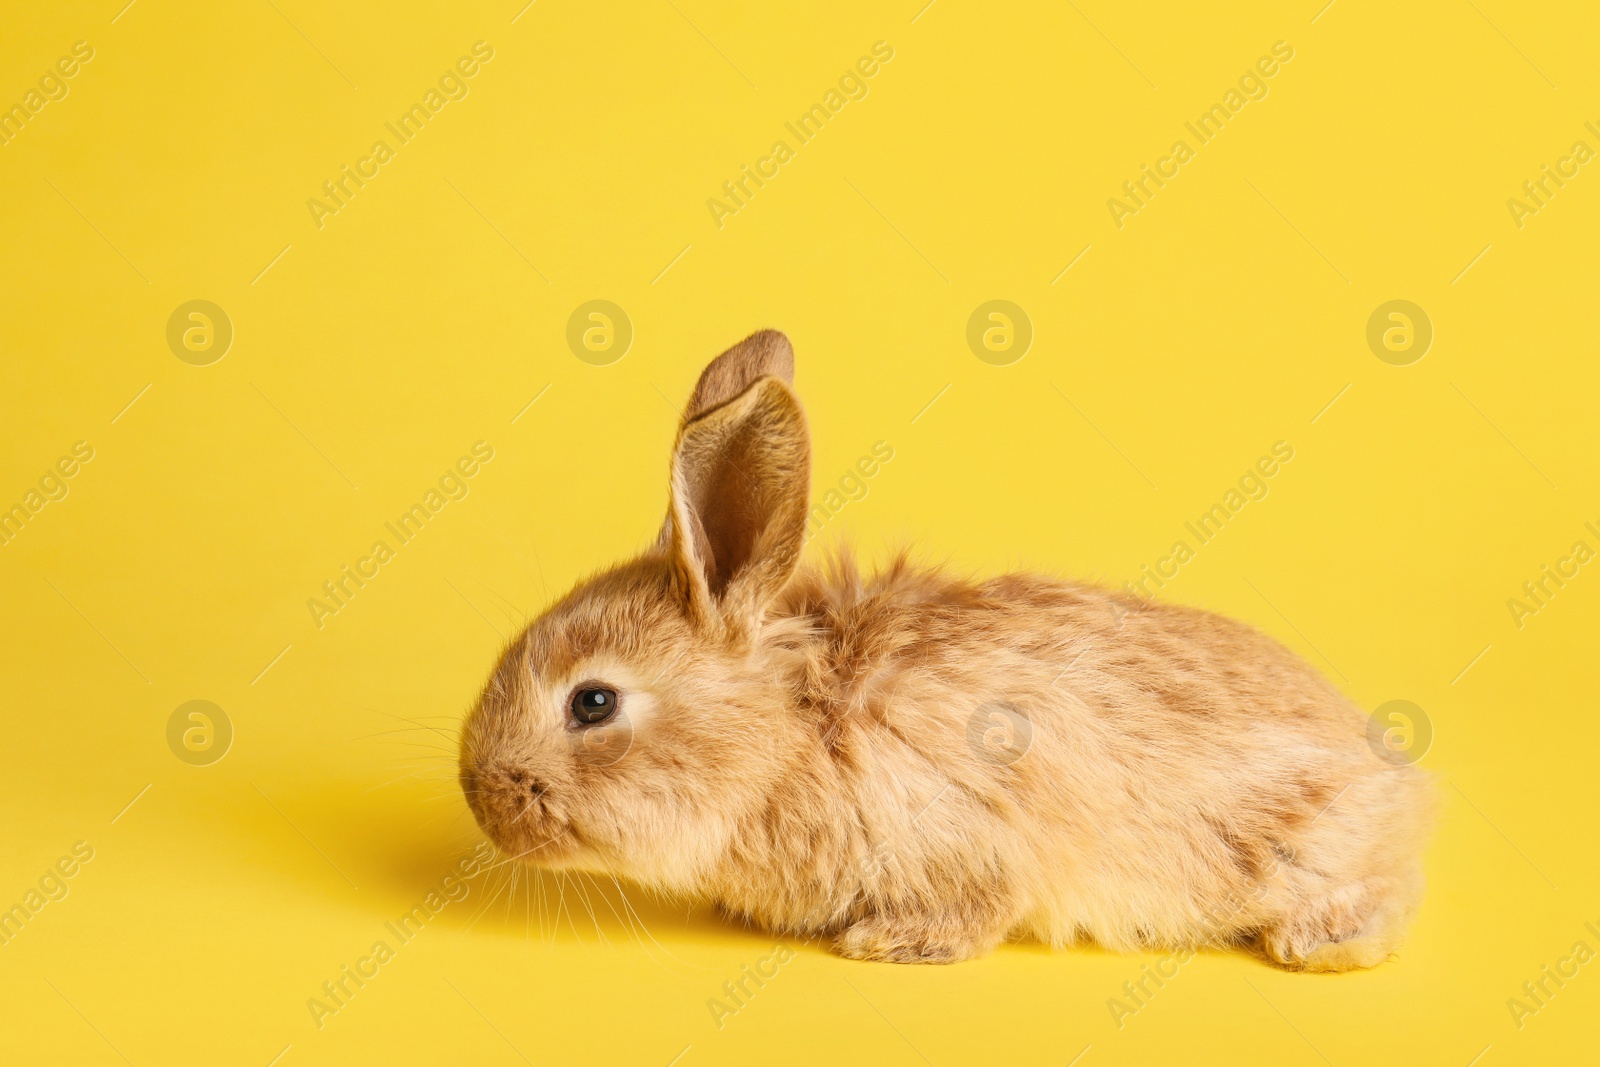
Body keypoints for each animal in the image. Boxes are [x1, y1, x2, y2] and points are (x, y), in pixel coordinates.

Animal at [457, 329, 1433, 972]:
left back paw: (1316, 944)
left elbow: (978, 907)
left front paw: (889, 942)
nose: (479, 795)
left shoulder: (962, 831)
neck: (786, 731)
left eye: (593, 701)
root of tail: (1403, 782)